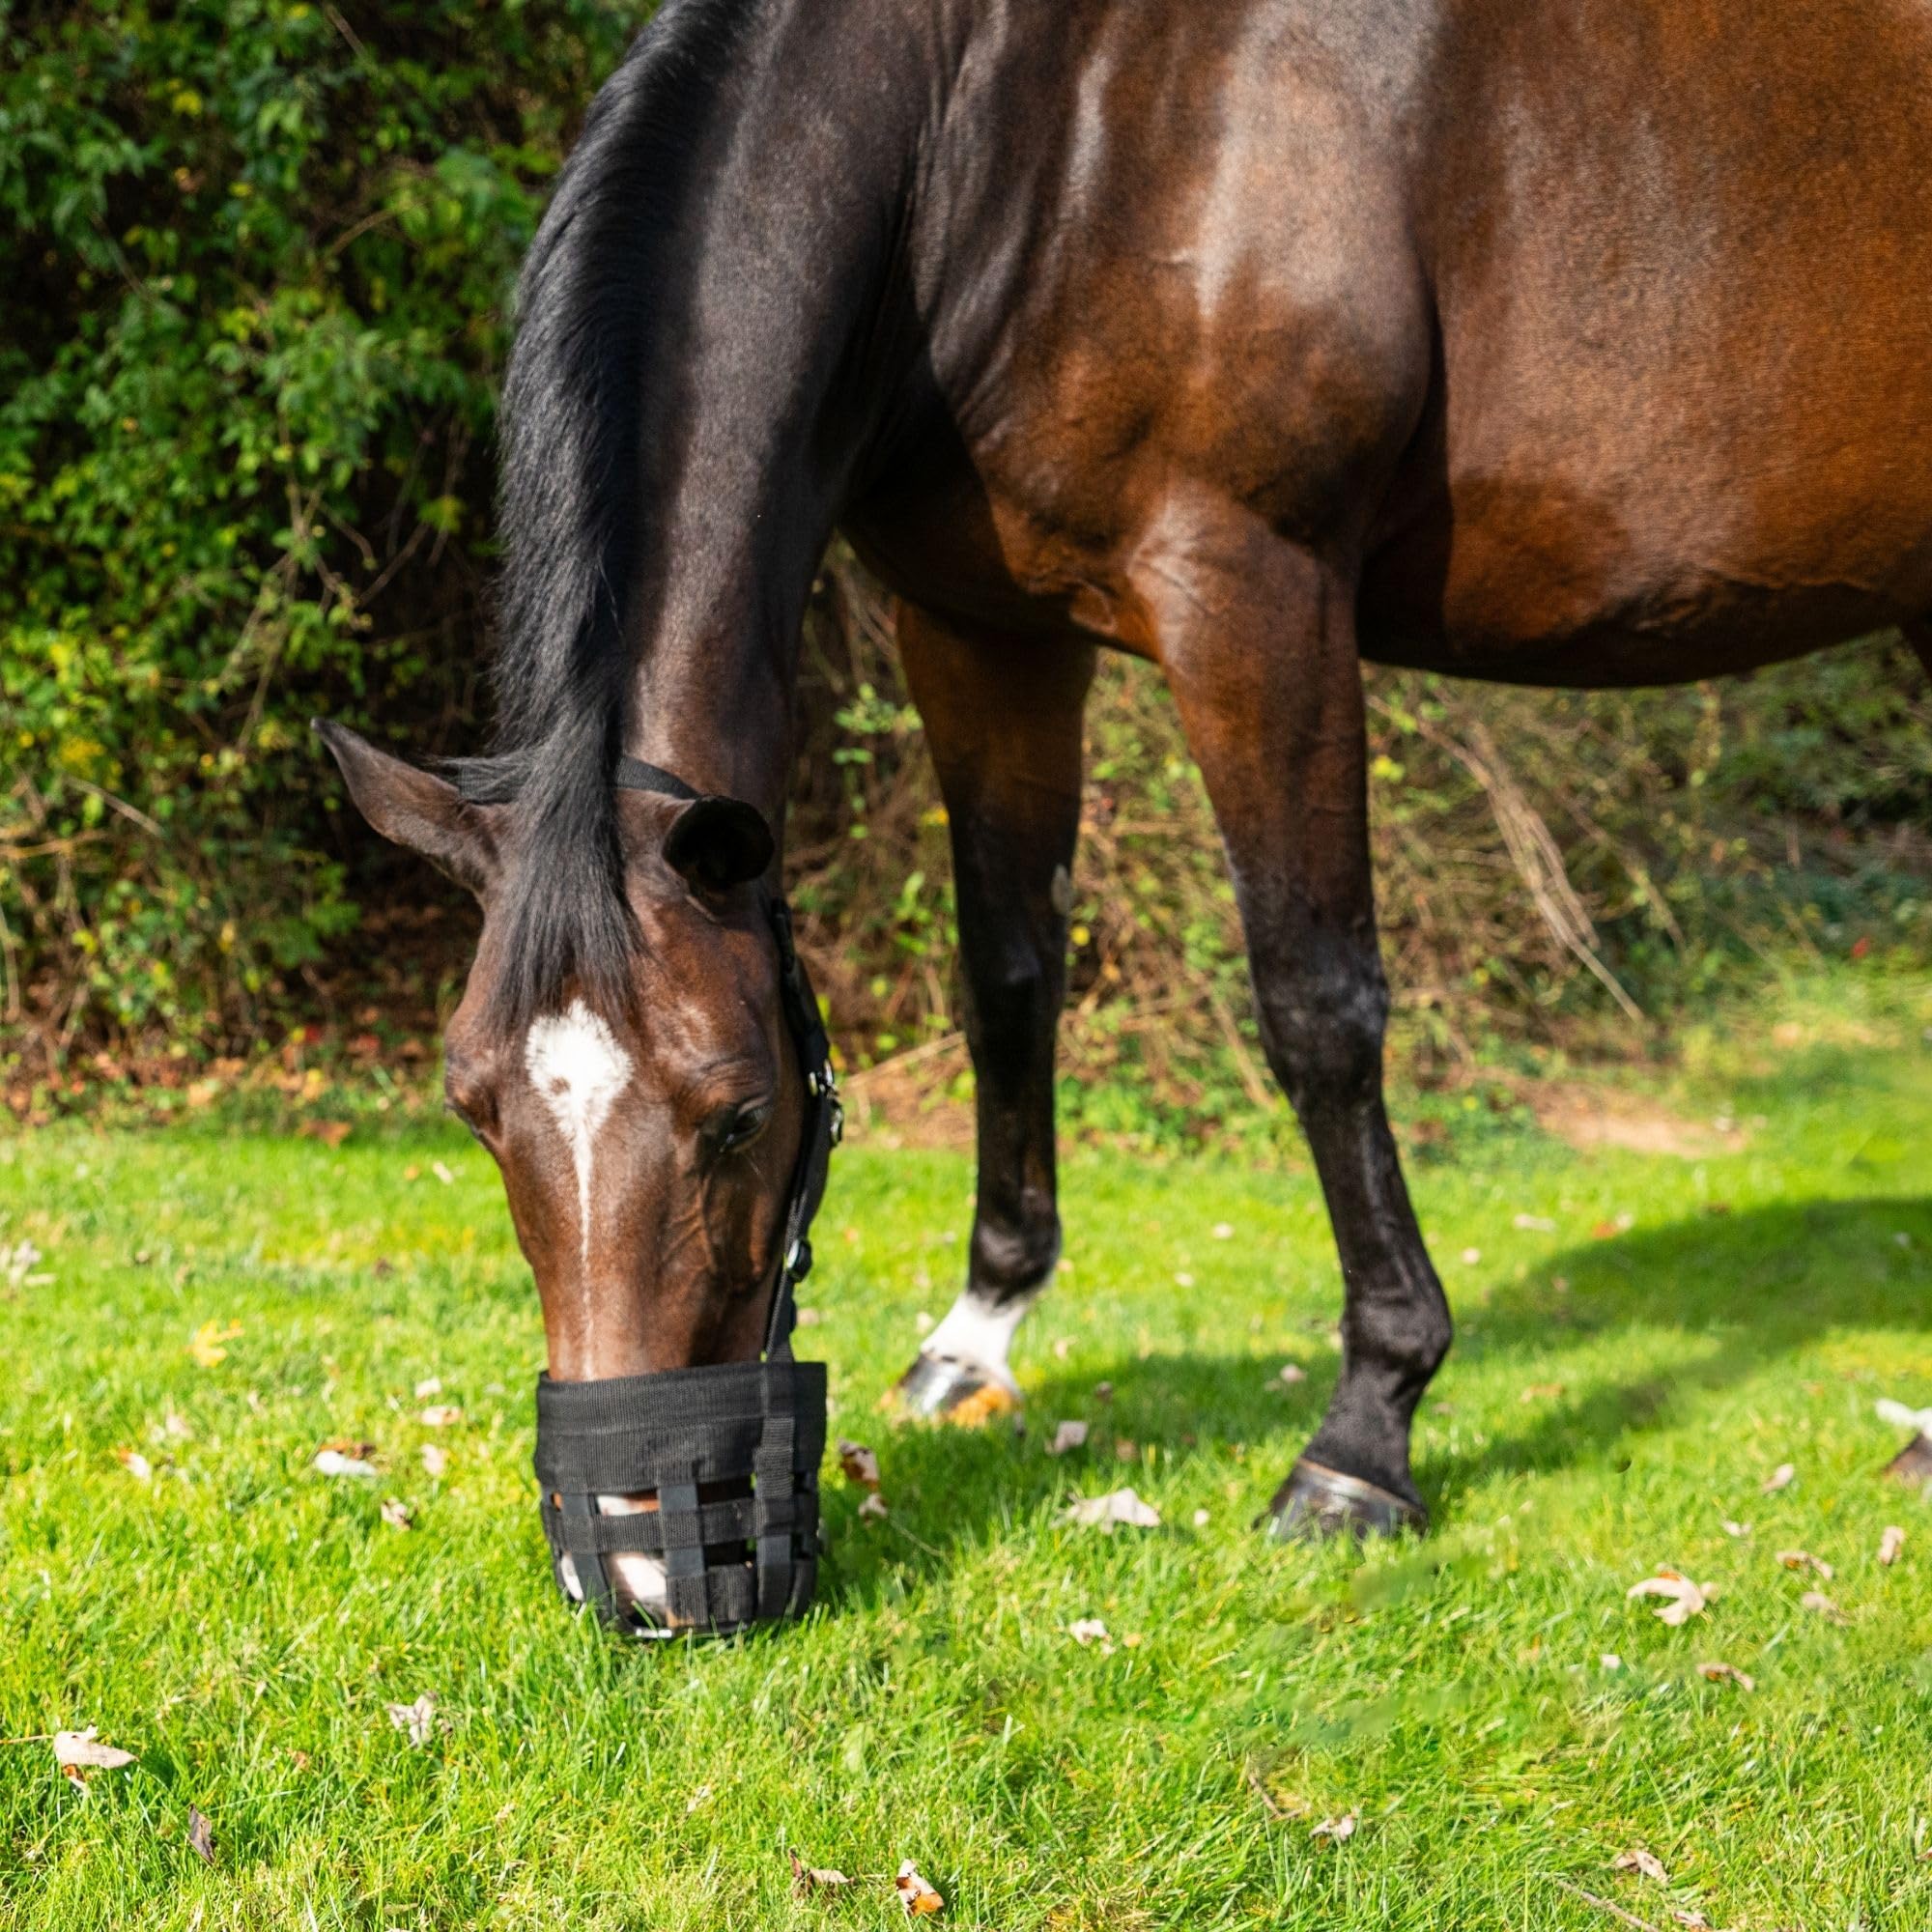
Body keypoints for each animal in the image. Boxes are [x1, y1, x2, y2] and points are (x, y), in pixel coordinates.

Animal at [319, 0, 1932, 1610]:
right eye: (472, 1106)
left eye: (739, 1115)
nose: (644, 1566)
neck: (1030, 127)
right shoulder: (979, 629)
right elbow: (1009, 975)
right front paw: (978, 1339)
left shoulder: (1253, 594)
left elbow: (1317, 1006)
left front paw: (1364, 1440)